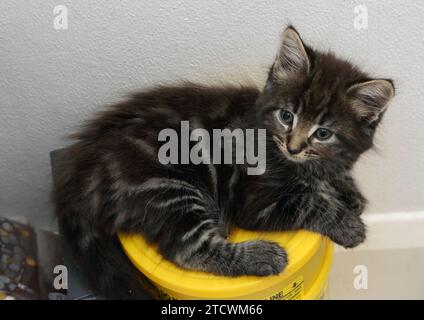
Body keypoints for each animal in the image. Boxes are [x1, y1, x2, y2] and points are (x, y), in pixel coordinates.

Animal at [52, 26, 394, 298]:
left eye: (323, 133)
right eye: (287, 116)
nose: (294, 146)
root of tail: (82, 170)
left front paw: (349, 192)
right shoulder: (257, 201)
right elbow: (308, 203)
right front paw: (346, 223)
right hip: (167, 186)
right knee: (186, 249)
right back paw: (260, 255)